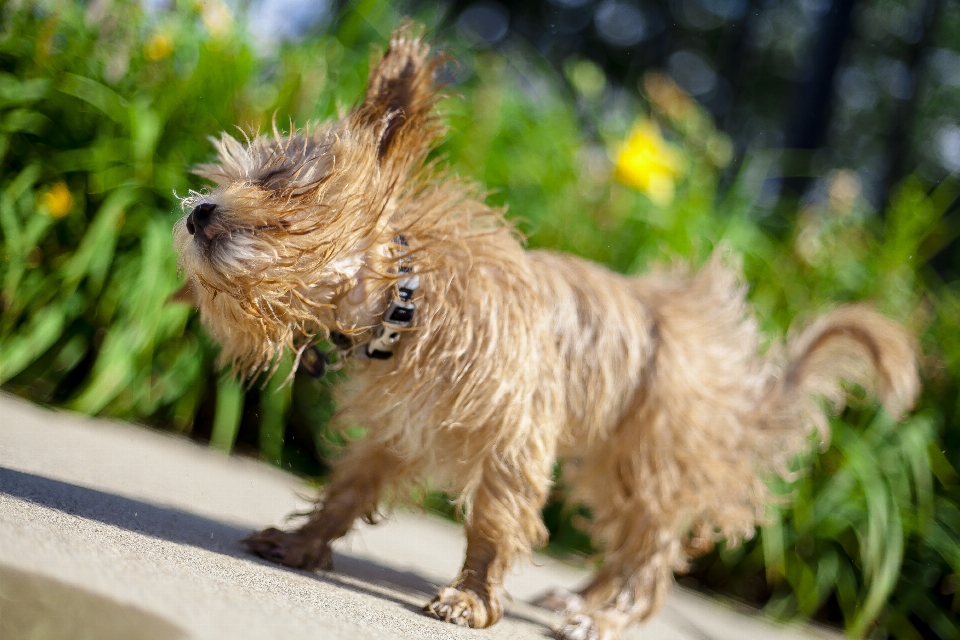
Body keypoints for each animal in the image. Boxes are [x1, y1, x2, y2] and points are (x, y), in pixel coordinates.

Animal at [174, 21, 924, 640]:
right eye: (230, 177)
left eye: (282, 194)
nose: (197, 212)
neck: (407, 303)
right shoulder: (398, 431)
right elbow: (348, 490)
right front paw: (304, 546)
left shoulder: (513, 435)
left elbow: (494, 521)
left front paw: (473, 599)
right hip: (614, 467)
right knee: (627, 546)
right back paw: (582, 597)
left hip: (648, 462)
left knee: (652, 557)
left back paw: (604, 616)